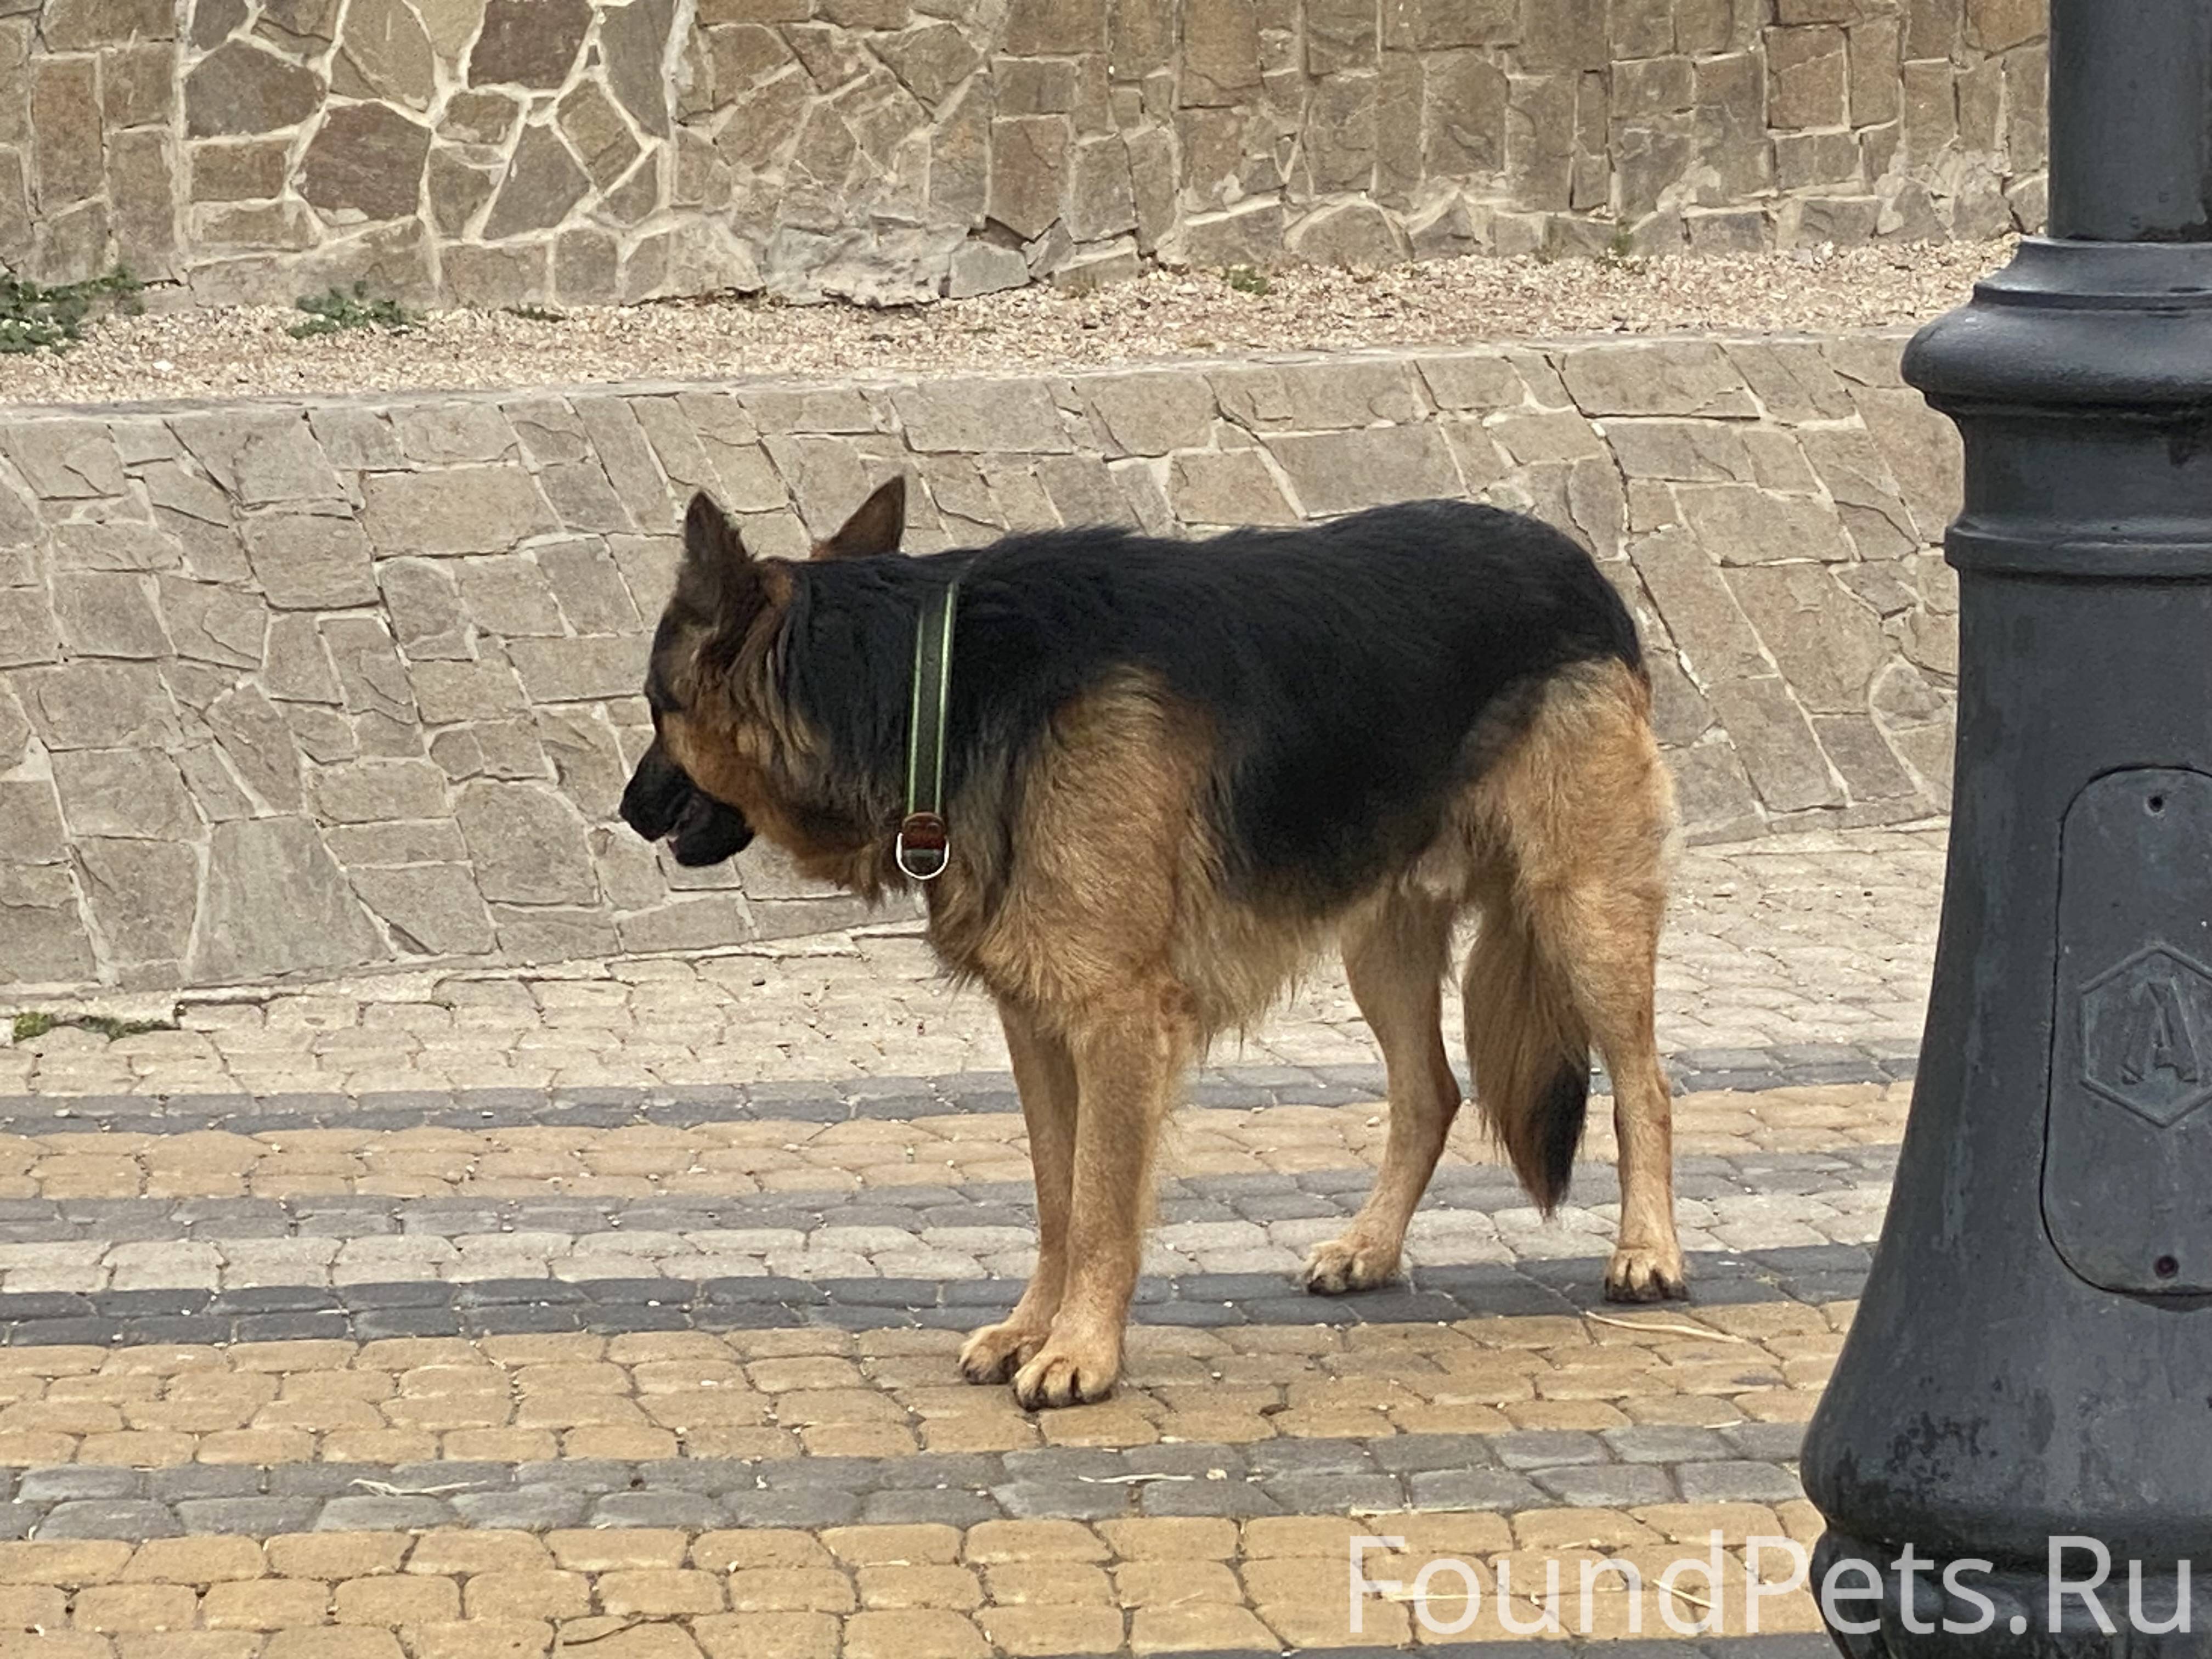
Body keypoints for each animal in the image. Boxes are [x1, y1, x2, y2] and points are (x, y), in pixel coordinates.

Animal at [620, 477, 1685, 1409]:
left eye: (655, 707)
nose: (629, 811)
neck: (935, 690)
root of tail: (1574, 560)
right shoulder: (1037, 1023)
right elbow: (1057, 1196)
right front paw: (1033, 1328)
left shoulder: (1116, 1022)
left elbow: (1099, 1203)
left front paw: (1080, 1352)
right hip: (1379, 946)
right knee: (1430, 1092)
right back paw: (1372, 1247)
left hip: (1581, 911)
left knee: (1645, 1085)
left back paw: (1649, 1251)